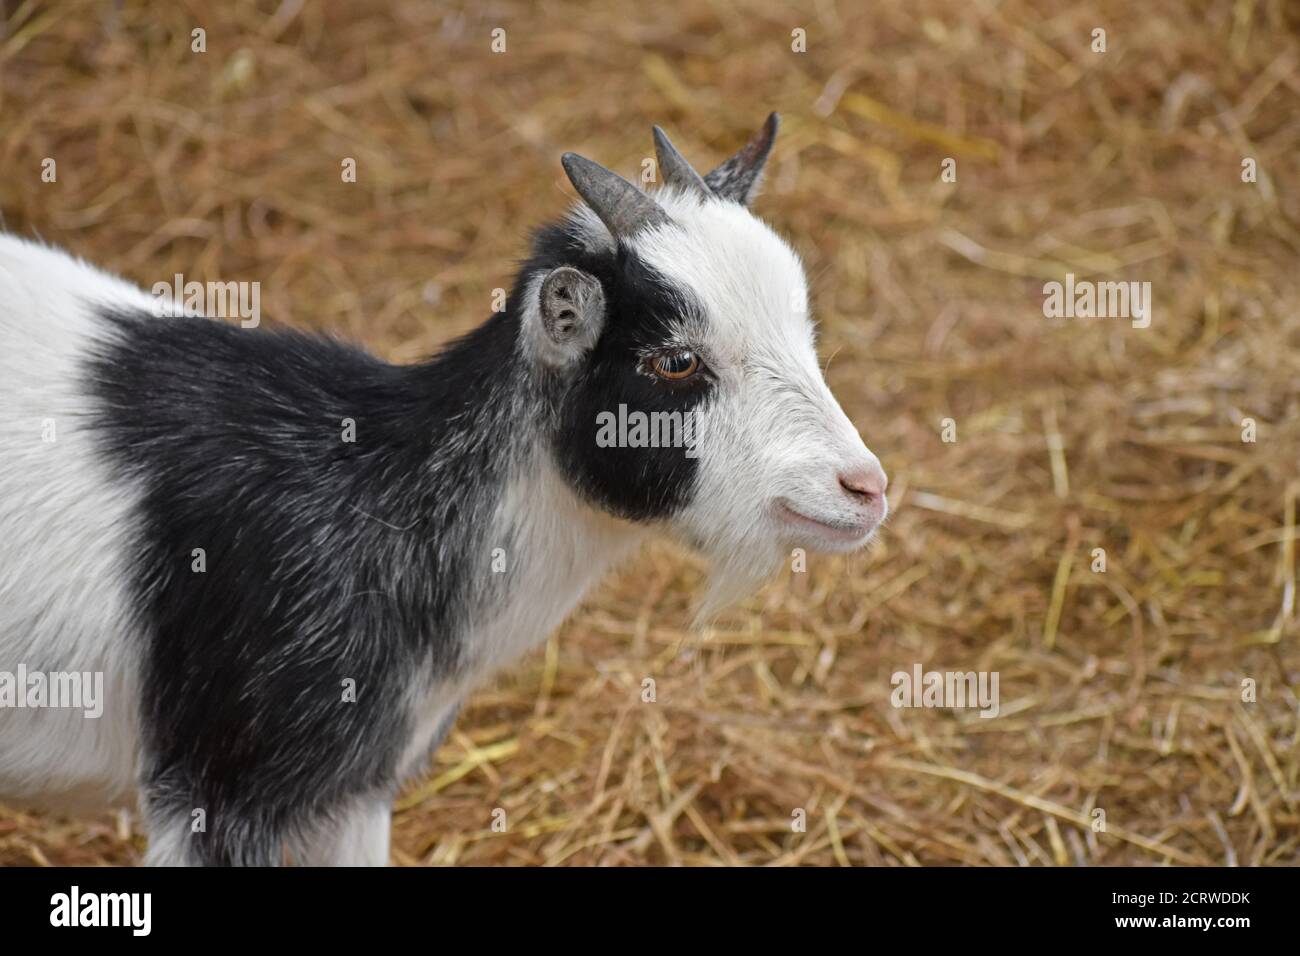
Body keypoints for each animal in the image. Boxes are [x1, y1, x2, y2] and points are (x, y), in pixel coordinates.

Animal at [0, 115, 888, 865]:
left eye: (804, 330)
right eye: (676, 361)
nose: (865, 488)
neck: (373, 495)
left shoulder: (356, 791)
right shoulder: (216, 791)